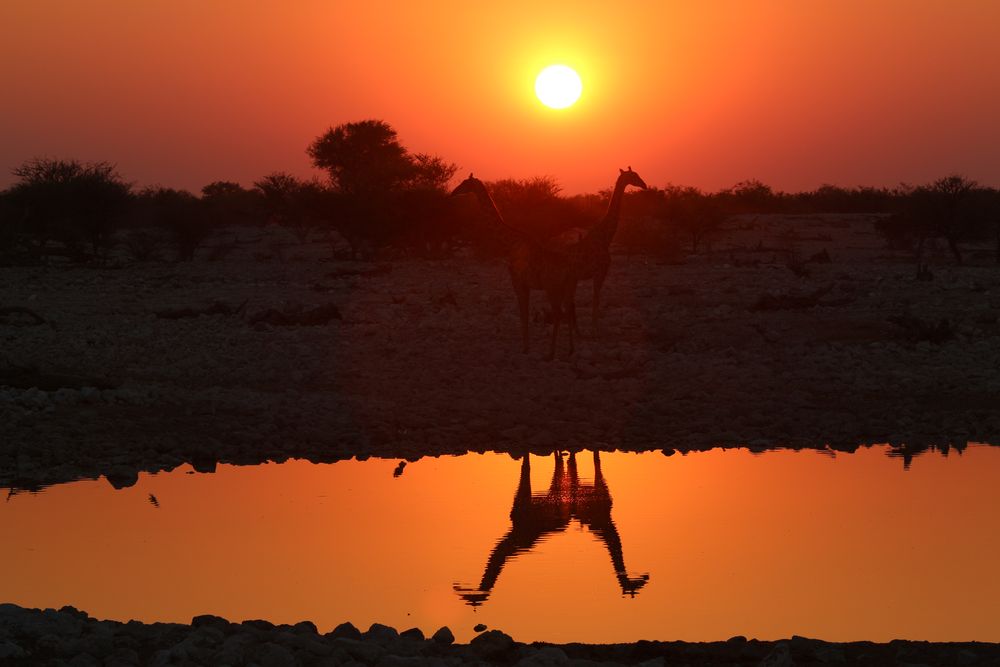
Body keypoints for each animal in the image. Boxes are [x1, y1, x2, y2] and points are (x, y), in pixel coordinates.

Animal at [454, 174, 580, 360]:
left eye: (465, 183)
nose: (453, 192)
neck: (509, 242)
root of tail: (571, 269)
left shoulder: (517, 281)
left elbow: (523, 313)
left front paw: (525, 348)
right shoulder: (526, 284)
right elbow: (525, 312)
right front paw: (527, 347)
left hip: (553, 287)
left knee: (558, 313)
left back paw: (551, 353)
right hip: (568, 287)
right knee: (569, 310)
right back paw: (570, 349)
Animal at [572, 167, 648, 334]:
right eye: (633, 176)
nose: (644, 185)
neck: (605, 238)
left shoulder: (597, 273)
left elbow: (596, 297)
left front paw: (593, 327)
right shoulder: (601, 271)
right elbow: (596, 298)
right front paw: (595, 328)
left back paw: (576, 330)